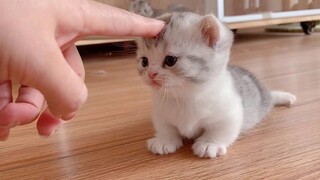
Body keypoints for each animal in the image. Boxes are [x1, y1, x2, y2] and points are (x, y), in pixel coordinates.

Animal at [134, 12, 296, 158]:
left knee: (271, 97)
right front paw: (164, 140)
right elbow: (166, 128)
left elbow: (219, 131)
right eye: (144, 62)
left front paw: (209, 144)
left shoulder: (229, 114)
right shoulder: (160, 114)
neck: (185, 97)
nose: (151, 74)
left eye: (170, 60)